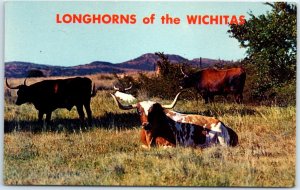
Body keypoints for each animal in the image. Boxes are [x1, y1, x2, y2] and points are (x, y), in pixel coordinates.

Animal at [109, 91, 237, 148]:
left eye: (153, 111)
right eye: (139, 111)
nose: (146, 125)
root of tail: (222, 123)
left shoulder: (171, 145)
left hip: (223, 142)